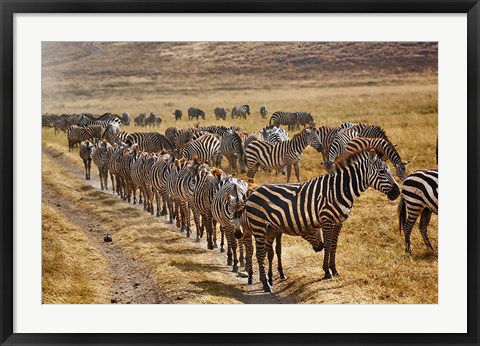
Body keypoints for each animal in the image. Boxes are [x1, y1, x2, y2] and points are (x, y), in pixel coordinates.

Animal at [234, 146, 400, 292]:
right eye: (382, 171)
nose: (397, 193)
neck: (339, 189)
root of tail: (251, 193)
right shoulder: (327, 220)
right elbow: (327, 245)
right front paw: (327, 272)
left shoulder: (338, 222)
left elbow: (333, 245)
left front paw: (334, 269)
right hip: (259, 227)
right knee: (259, 254)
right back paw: (265, 284)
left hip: (269, 229)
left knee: (265, 253)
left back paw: (267, 281)